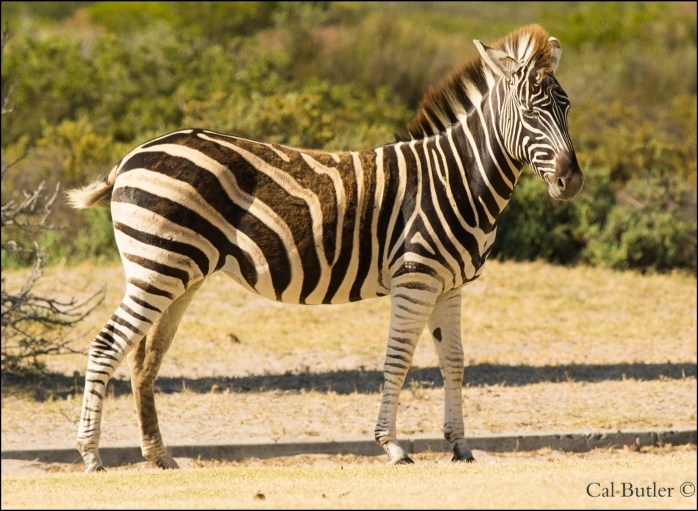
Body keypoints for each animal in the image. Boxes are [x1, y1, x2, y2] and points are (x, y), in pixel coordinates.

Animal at [67, 24, 583, 472]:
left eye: (567, 107)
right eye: (530, 113)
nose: (572, 181)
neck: (456, 177)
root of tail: (131, 156)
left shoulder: (450, 285)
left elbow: (453, 362)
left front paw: (460, 446)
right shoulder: (415, 278)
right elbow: (398, 359)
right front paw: (392, 445)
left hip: (179, 274)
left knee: (144, 359)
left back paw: (158, 456)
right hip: (156, 268)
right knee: (107, 345)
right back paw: (91, 455)